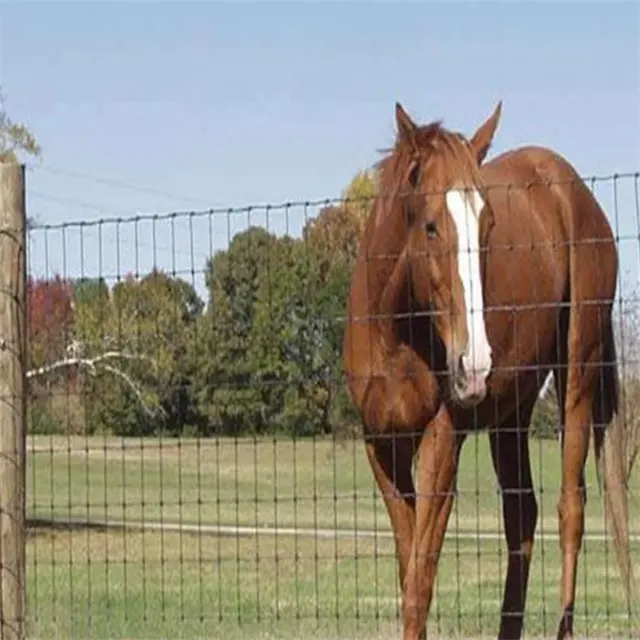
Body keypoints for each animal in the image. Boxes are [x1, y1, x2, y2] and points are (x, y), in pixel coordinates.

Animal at [342, 101, 632, 640]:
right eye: (430, 226)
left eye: (488, 225)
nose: (473, 365)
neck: (396, 334)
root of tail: (575, 192)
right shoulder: (383, 447)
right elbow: (409, 571)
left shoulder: (442, 440)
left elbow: (419, 588)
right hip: (511, 414)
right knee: (522, 518)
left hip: (576, 376)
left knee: (570, 509)